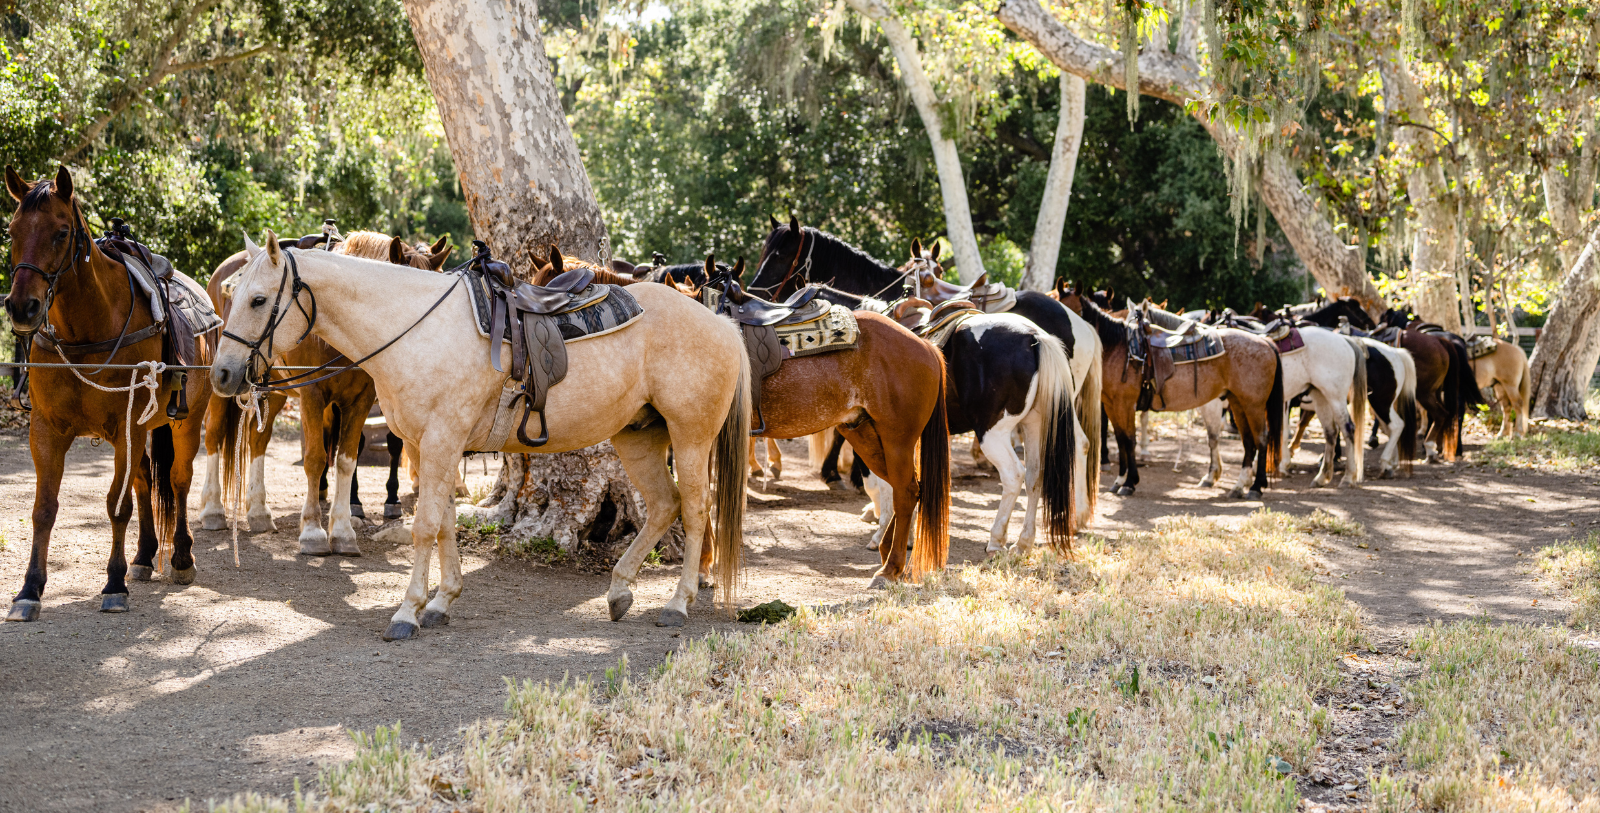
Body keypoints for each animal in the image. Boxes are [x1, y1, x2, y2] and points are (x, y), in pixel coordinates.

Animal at [4, 165, 216, 621]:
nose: (22, 307)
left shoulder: (127, 428)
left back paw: (181, 558)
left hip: (187, 422)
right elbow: (43, 510)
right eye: (11, 230)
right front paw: (29, 591)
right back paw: (144, 556)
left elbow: (117, 507)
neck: (86, 329)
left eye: (61, 232)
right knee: (144, 481)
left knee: (178, 480)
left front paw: (114, 584)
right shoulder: (46, 430)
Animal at [199, 232, 452, 554]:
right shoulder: (313, 395)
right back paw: (213, 509)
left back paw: (258, 511)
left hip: (273, 389)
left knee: (258, 441)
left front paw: (343, 529)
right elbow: (315, 458)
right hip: (223, 387)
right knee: (214, 434)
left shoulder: (361, 400)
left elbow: (346, 459)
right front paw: (313, 531)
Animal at [1059, 288, 1284, 499]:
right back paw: (1239, 486)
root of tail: (1266, 342)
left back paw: (1256, 486)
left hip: (1254, 405)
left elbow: (1129, 440)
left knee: (1261, 439)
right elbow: (1122, 440)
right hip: (1238, 403)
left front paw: (1130, 483)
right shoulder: (1111, 405)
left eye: (1073, 314)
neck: (1120, 349)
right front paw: (1120, 479)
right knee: (1248, 442)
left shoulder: (1124, 404)